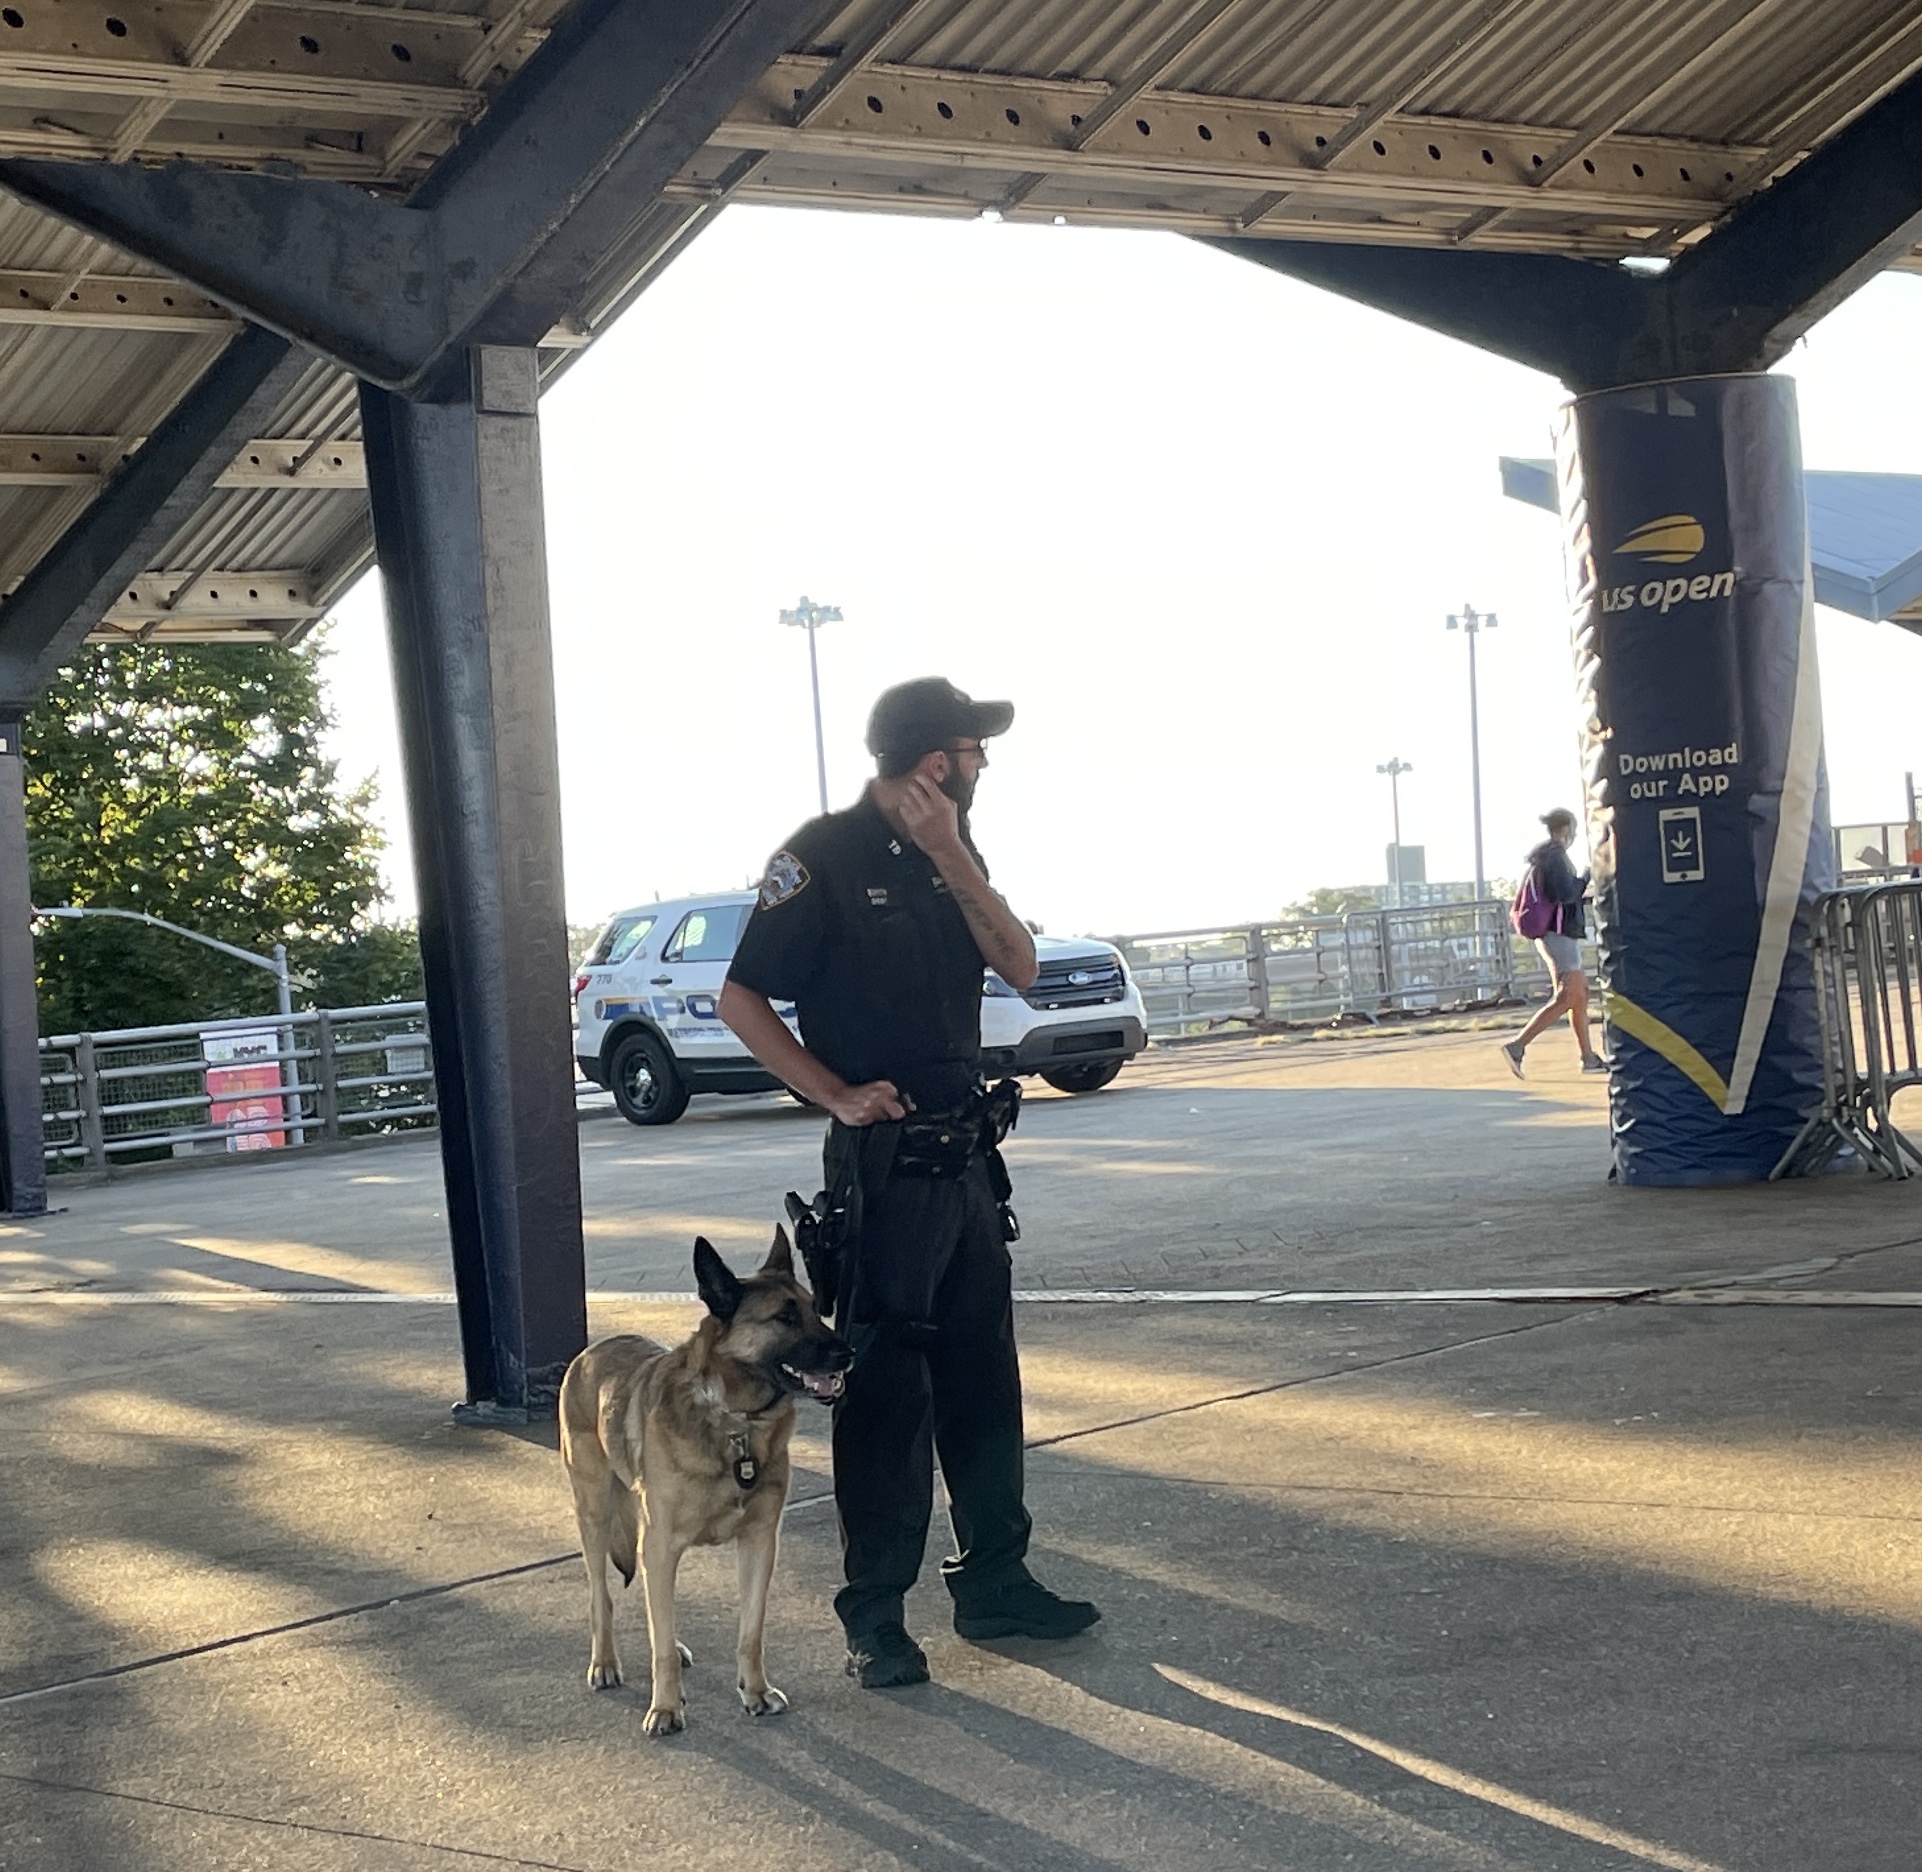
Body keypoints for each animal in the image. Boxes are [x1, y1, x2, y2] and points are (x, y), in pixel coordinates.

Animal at [559, 1228, 851, 1736]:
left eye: (817, 1310)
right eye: (784, 1317)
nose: (849, 1353)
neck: (737, 1423)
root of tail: (589, 1353)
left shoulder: (758, 1543)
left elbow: (750, 1632)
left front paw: (754, 1691)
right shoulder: (661, 1547)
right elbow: (657, 1633)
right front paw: (665, 1707)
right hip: (594, 1515)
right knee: (602, 1597)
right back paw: (606, 1662)